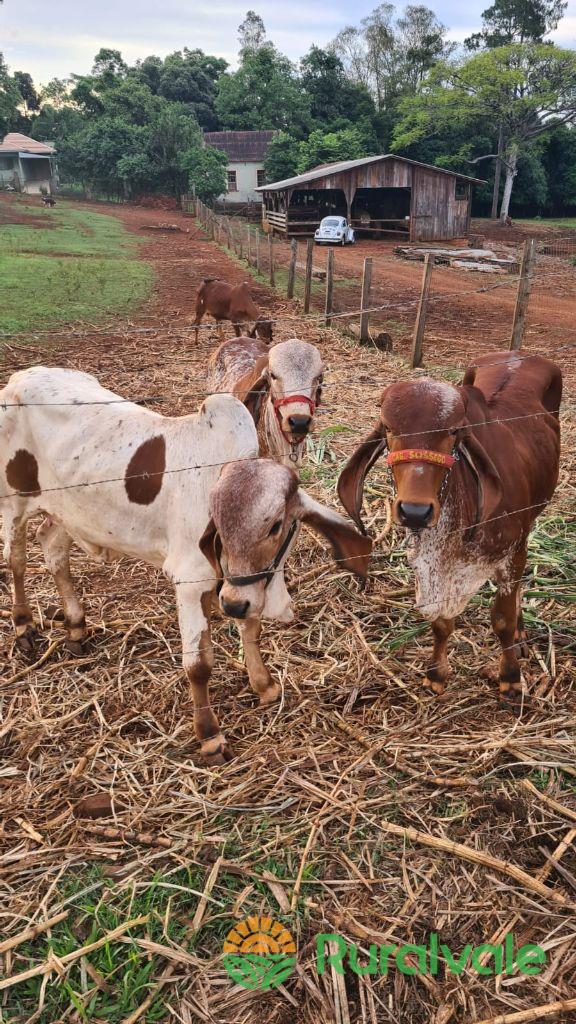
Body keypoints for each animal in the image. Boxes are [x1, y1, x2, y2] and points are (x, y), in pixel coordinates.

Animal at [2, 368, 368, 761]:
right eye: (218, 523)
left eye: (275, 525)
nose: (232, 605)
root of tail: (22, 376)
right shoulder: (191, 582)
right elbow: (199, 665)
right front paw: (209, 734)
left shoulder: (243, 585)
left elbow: (250, 630)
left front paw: (264, 685)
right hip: (14, 501)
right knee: (16, 559)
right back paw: (24, 626)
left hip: (68, 511)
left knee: (53, 549)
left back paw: (75, 626)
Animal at [336, 354, 561, 712]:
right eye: (388, 428)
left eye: (454, 431)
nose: (415, 511)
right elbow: (442, 622)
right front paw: (436, 675)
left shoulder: (511, 551)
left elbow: (503, 619)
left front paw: (511, 678)